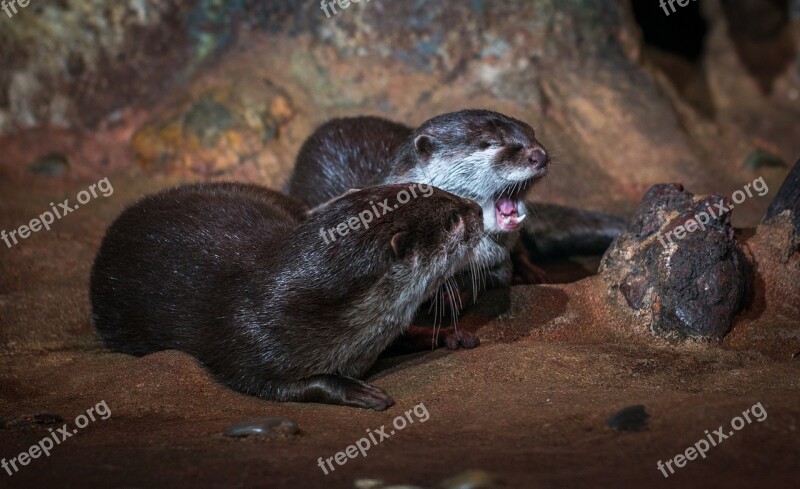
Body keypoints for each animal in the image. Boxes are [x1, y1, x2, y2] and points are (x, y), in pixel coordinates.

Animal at [90, 181, 484, 410]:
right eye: (452, 217)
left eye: (443, 191)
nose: (479, 209)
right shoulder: (250, 347)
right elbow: (282, 385)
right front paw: (358, 391)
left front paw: (446, 333)